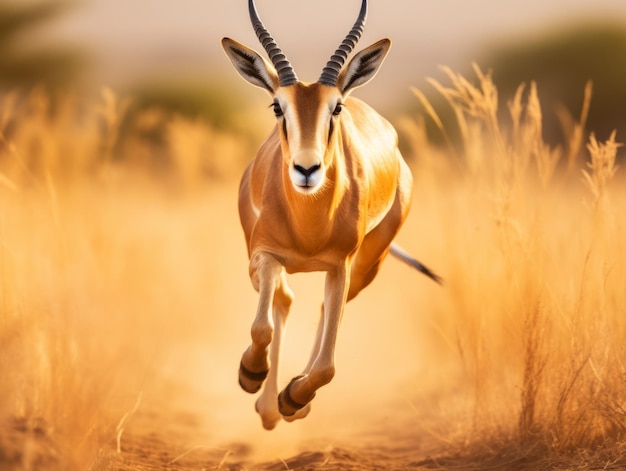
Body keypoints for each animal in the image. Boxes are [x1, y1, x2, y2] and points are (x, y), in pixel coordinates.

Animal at [219, 0, 438, 430]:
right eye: (277, 106)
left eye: (336, 107)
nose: (307, 169)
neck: (309, 229)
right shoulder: (262, 256)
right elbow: (263, 324)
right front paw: (251, 375)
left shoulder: (341, 266)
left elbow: (327, 367)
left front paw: (292, 397)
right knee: (284, 301)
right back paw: (266, 405)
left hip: (369, 265)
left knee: (319, 310)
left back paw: (288, 404)